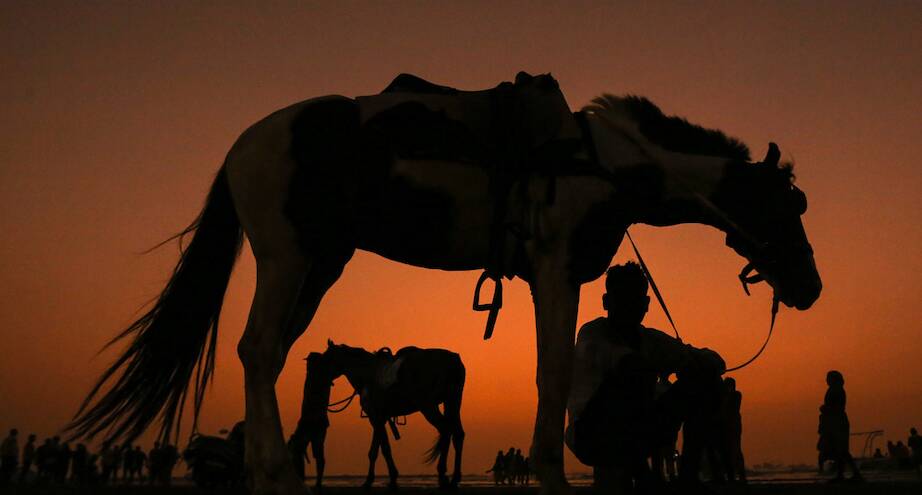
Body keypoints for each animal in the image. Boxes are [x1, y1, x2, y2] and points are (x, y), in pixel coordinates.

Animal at [292, 342, 464, 490]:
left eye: (326, 358)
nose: (314, 377)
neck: (367, 373)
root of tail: (453, 360)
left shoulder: (375, 417)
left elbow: (384, 448)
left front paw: (392, 478)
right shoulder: (379, 418)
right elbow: (375, 450)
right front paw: (369, 480)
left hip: (428, 406)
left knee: (445, 430)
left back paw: (442, 475)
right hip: (452, 402)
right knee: (457, 434)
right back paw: (454, 478)